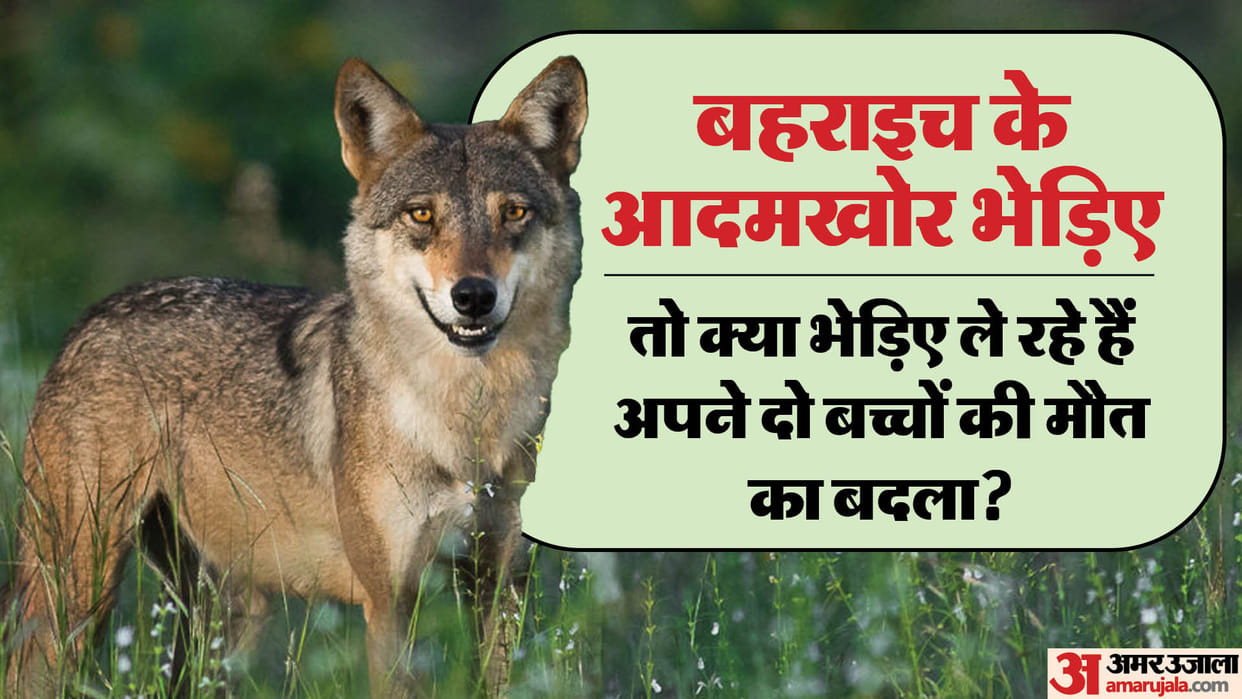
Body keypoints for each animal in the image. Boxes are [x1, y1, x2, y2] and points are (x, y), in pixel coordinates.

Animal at [8, 55, 587, 697]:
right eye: (421, 214)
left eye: (513, 212)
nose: (474, 296)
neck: (467, 419)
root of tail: (90, 318)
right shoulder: (391, 603)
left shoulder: (498, 587)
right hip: (76, 596)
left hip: (223, 617)